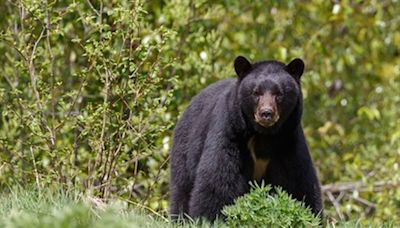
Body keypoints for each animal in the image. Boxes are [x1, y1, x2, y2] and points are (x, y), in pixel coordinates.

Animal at [169, 55, 322, 221]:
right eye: (256, 93)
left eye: (279, 94)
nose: (266, 113)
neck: (264, 135)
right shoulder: (231, 133)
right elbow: (218, 179)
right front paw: (209, 218)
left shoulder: (288, 141)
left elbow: (298, 182)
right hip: (185, 147)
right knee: (182, 188)